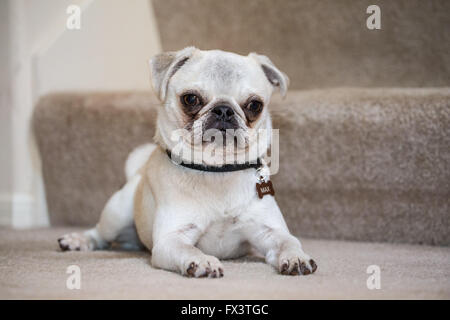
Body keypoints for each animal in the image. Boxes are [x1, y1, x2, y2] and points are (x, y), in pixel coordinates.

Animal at [59, 47, 316, 278]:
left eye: (255, 105)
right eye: (190, 99)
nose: (224, 110)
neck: (217, 171)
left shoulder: (269, 232)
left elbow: (289, 242)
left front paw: (297, 257)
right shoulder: (170, 239)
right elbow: (188, 249)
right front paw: (202, 261)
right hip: (117, 212)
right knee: (99, 234)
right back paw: (77, 240)